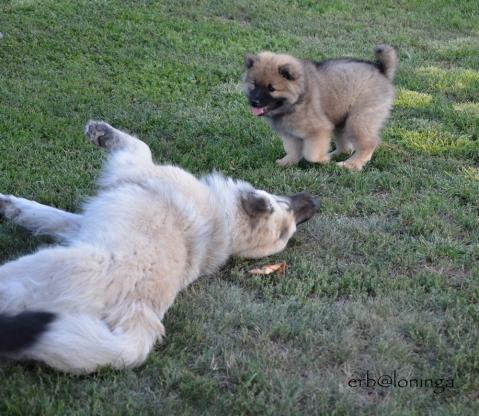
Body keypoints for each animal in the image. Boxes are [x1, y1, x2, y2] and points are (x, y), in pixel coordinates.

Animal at [0, 121, 322, 374]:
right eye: (289, 214)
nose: (316, 202)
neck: (224, 220)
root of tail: (140, 320)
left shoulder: (136, 167)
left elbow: (140, 145)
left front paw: (101, 132)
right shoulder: (80, 225)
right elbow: (46, 215)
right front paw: (11, 206)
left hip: (38, 268)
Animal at [244, 44, 398, 170]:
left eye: (271, 89)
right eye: (254, 84)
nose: (254, 102)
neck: (298, 99)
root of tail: (381, 71)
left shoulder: (318, 130)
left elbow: (311, 154)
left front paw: (322, 160)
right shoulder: (290, 134)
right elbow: (292, 150)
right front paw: (287, 162)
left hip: (358, 119)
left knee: (368, 143)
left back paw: (350, 164)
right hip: (341, 118)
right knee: (346, 146)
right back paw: (335, 154)